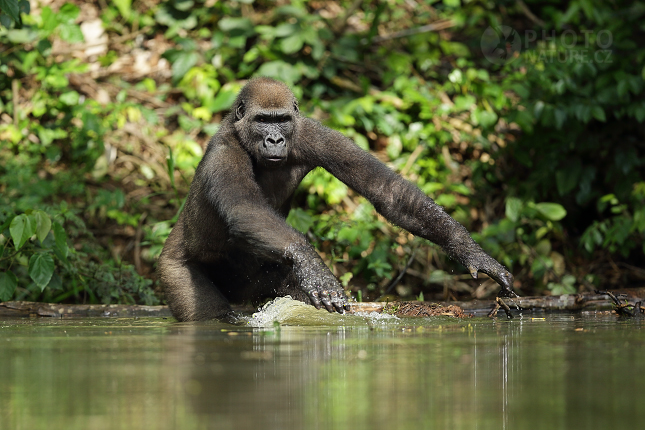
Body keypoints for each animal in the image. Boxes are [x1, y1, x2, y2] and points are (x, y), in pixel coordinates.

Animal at [158, 77, 516, 320]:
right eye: (262, 120)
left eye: (281, 120)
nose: (274, 140)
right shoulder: (225, 153)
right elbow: (245, 210)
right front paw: (314, 266)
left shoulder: (310, 132)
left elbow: (387, 191)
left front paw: (470, 250)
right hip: (171, 269)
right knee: (208, 315)